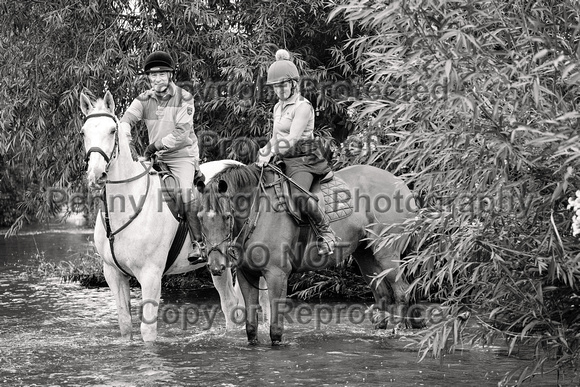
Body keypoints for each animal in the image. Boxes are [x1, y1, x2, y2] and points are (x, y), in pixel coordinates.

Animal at [78, 91, 268, 342]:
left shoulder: (150, 275)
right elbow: (125, 325)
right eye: (83, 132)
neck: (127, 202)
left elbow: (147, 330)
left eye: (111, 130)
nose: (96, 176)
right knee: (230, 305)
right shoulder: (113, 274)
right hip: (219, 264)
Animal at [199, 164, 416, 346]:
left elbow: (275, 329)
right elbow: (251, 327)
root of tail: (402, 184)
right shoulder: (247, 275)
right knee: (383, 294)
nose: (216, 266)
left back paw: (397, 330)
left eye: (227, 217)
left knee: (401, 291)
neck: (258, 213)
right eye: (200, 218)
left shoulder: (277, 275)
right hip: (366, 255)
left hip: (387, 253)